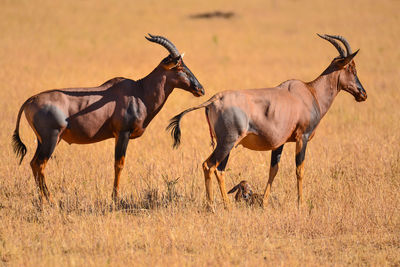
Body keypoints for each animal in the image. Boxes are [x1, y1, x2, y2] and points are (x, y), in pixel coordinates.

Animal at [11, 34, 206, 204]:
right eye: (178, 67)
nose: (200, 89)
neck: (139, 91)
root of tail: (30, 100)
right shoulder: (122, 133)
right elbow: (119, 164)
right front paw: (115, 198)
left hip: (42, 140)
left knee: (34, 164)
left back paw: (43, 201)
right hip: (51, 138)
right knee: (40, 164)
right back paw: (51, 201)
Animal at [167, 33, 368, 210]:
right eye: (351, 68)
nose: (362, 94)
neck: (309, 93)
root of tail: (214, 99)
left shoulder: (279, 143)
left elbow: (274, 169)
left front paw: (264, 203)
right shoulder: (302, 137)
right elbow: (300, 170)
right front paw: (301, 205)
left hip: (226, 144)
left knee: (219, 169)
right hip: (228, 142)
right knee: (209, 166)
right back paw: (216, 207)